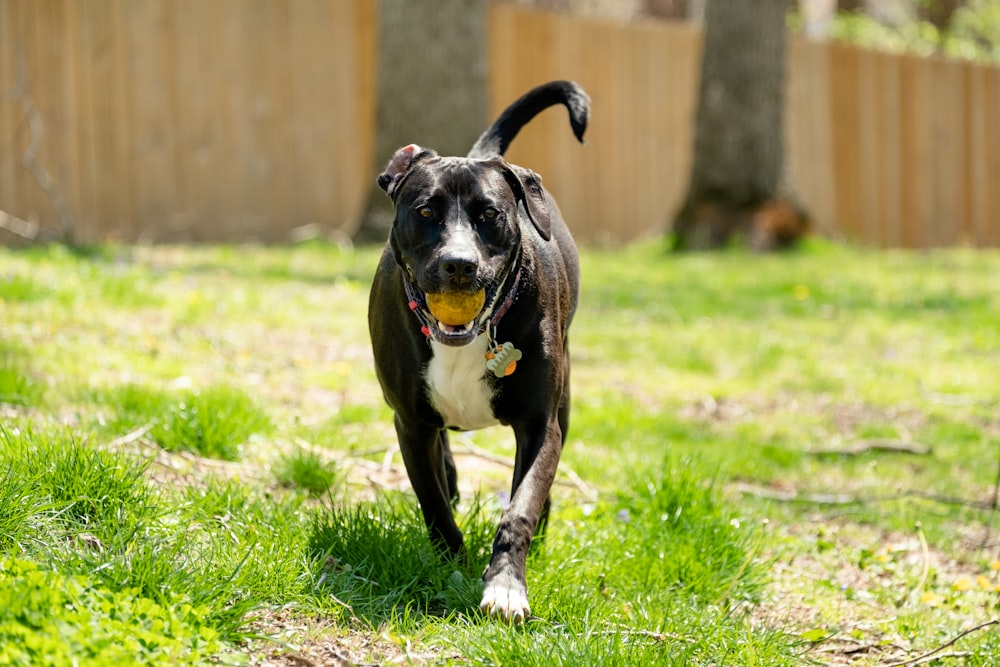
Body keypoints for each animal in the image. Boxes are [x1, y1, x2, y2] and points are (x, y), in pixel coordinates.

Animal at [366, 81, 584, 624]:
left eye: (490, 215)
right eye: (425, 211)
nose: (459, 265)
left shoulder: (540, 424)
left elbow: (520, 508)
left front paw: (505, 586)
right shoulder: (411, 421)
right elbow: (434, 505)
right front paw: (453, 568)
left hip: (567, 398)